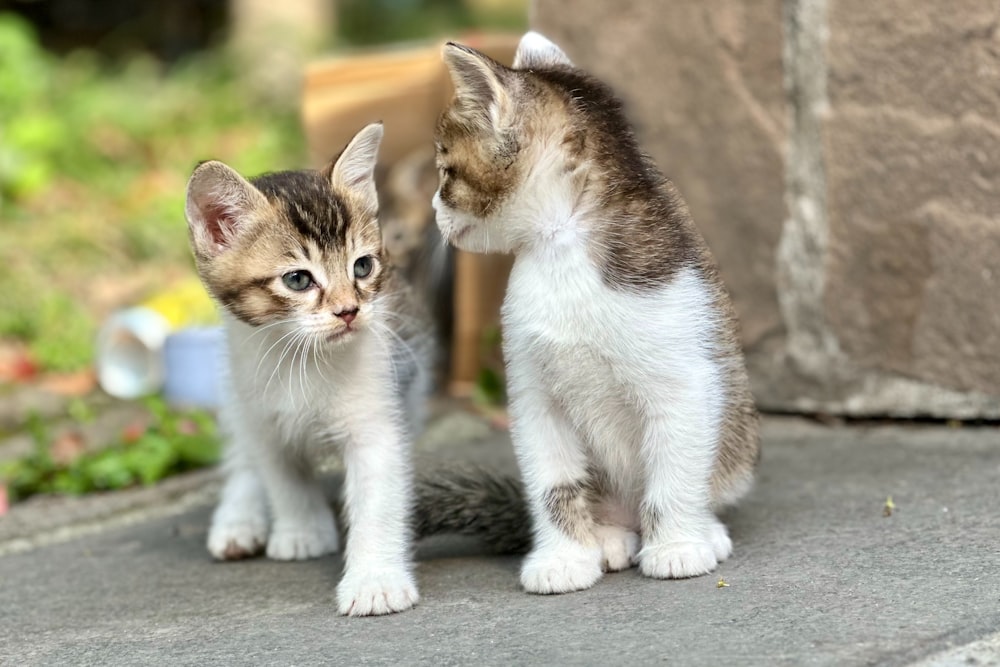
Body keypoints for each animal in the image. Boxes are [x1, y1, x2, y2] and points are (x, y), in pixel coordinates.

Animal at [185, 121, 434, 616]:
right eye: (298, 279)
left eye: (363, 266)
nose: (349, 311)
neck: (304, 358)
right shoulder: (264, 415)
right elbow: (280, 477)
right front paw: (302, 532)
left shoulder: (378, 421)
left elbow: (378, 498)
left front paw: (374, 580)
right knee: (242, 454)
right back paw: (238, 519)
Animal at [430, 32, 756, 596]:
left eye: (446, 172)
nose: (432, 208)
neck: (560, 247)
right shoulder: (533, 396)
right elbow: (553, 483)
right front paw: (563, 557)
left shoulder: (686, 381)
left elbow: (674, 470)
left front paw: (677, 545)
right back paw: (608, 536)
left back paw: (700, 530)